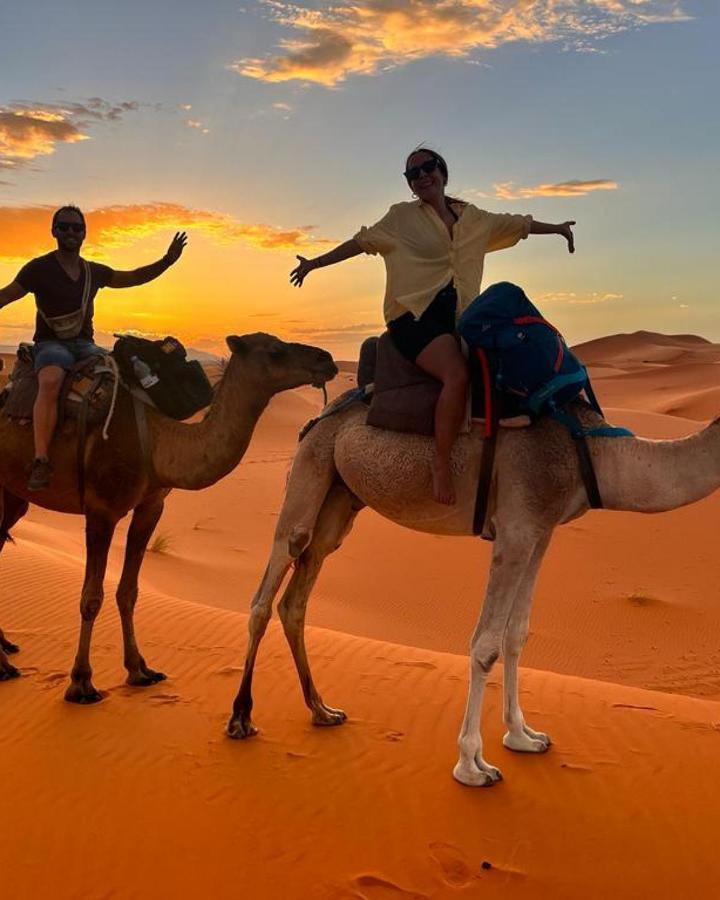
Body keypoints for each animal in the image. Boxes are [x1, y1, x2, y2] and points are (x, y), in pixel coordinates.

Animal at [0, 334, 338, 700]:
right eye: (275, 350)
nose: (326, 359)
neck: (157, 442)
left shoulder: (151, 507)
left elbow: (128, 591)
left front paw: (139, 669)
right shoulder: (101, 509)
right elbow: (91, 597)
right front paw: (82, 682)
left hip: (12, 495)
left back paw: (6, 650)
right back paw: (5, 666)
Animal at [226, 398, 720, 784]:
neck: (594, 453)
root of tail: (316, 419)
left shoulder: (541, 532)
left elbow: (517, 635)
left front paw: (524, 736)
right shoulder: (517, 528)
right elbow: (485, 644)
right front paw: (472, 765)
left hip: (341, 498)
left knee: (297, 598)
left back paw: (322, 711)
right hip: (311, 467)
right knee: (269, 585)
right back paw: (241, 717)